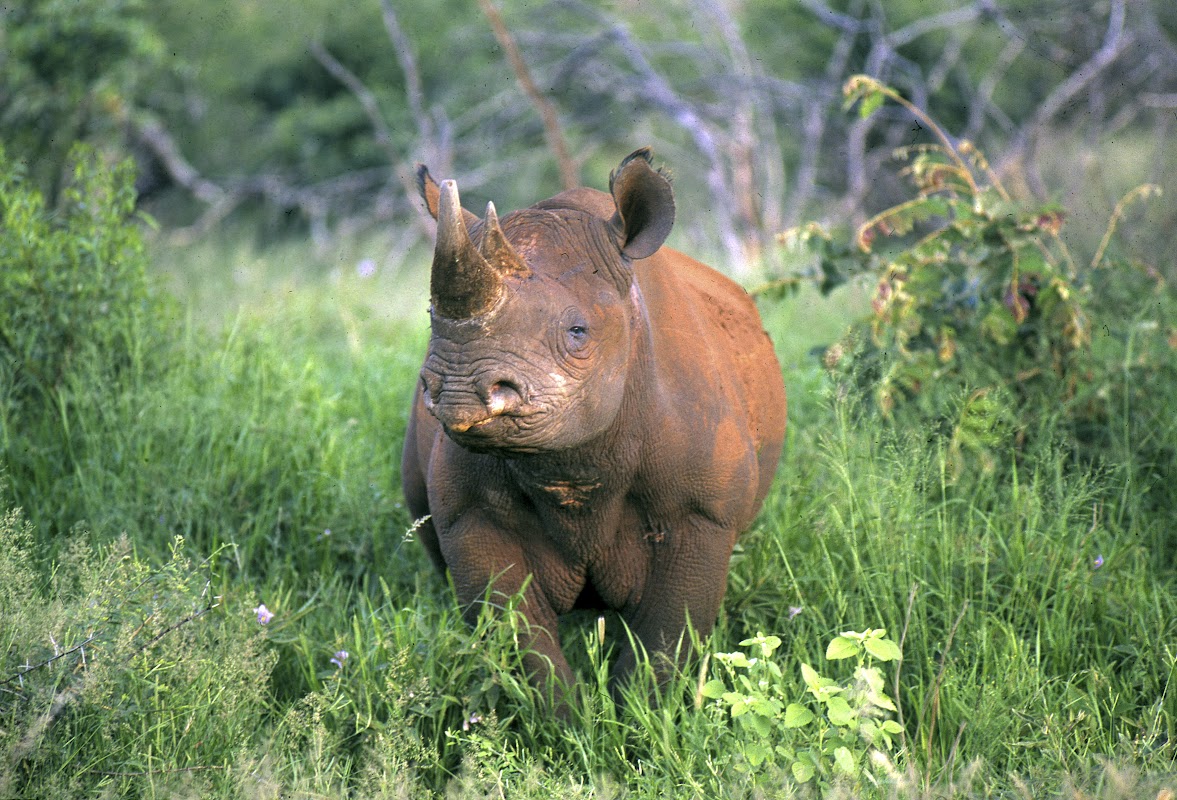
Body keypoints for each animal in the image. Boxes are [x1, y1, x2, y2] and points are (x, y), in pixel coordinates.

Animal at [401, 148, 786, 704]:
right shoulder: (471, 516)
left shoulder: (703, 514)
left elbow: (666, 641)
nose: (456, 388)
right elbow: (520, 644)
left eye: (577, 332)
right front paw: (559, 721)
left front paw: (639, 719)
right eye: (432, 317)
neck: (572, 469)